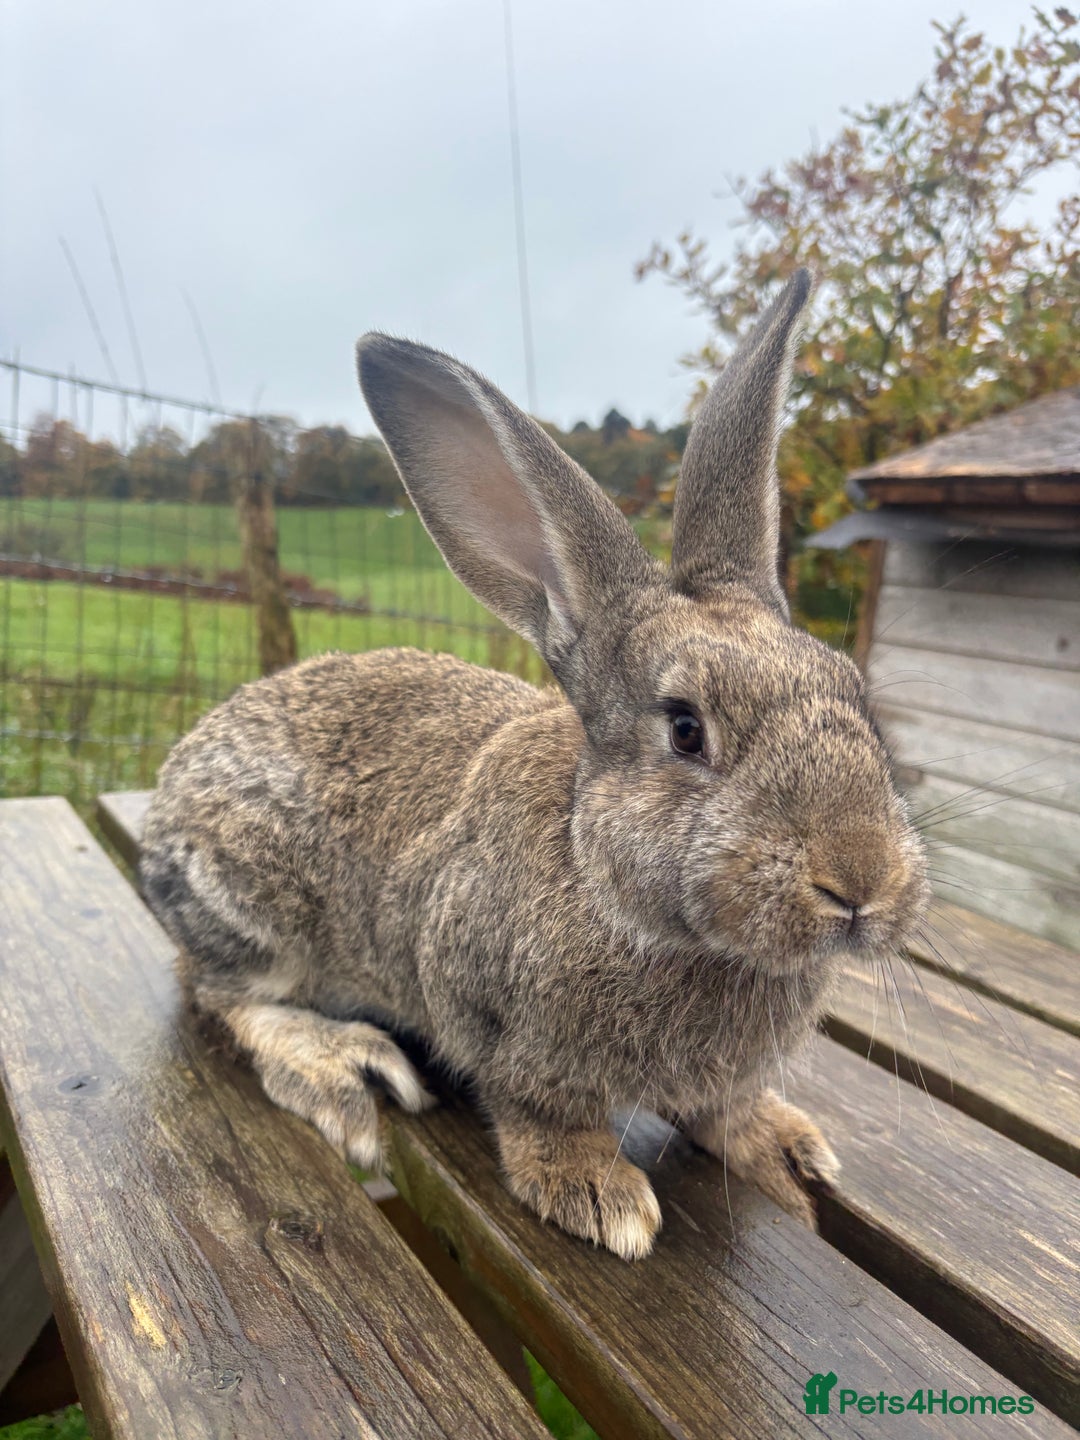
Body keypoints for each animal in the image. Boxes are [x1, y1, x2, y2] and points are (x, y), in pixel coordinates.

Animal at [139, 269, 929, 1260]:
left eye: (855, 697)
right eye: (685, 730)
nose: (860, 880)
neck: (610, 883)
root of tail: (165, 799)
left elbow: (727, 1106)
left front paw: (783, 1149)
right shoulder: (483, 1008)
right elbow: (537, 1109)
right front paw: (596, 1193)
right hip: (253, 909)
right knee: (219, 994)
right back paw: (341, 1065)